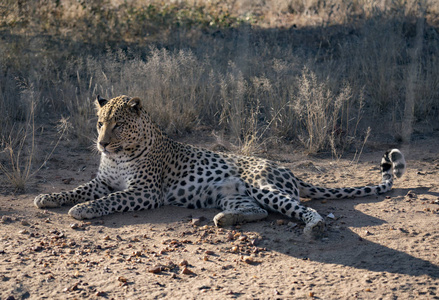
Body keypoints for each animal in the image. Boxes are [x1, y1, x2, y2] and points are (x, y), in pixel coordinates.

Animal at [32, 95, 408, 237]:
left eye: (119, 125)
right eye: (99, 123)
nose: (101, 143)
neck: (119, 154)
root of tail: (288, 170)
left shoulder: (143, 192)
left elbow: (108, 200)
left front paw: (83, 210)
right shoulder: (103, 181)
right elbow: (79, 188)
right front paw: (48, 198)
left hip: (262, 185)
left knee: (300, 208)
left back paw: (314, 227)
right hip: (232, 193)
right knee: (258, 211)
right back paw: (225, 219)